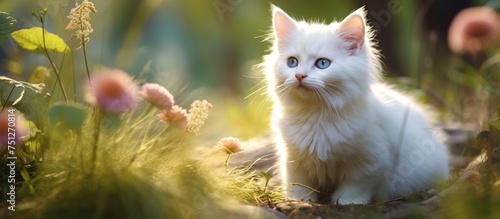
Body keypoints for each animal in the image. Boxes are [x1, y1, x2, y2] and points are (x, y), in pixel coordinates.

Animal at [266, 4, 450, 204]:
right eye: (292, 62)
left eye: (322, 63)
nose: (299, 75)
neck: (316, 114)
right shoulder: (292, 157)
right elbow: (299, 183)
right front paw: (299, 200)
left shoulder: (371, 161)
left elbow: (355, 186)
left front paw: (346, 202)